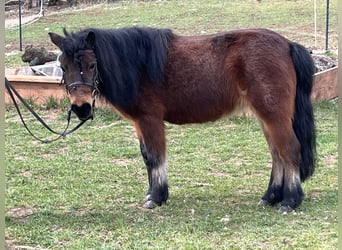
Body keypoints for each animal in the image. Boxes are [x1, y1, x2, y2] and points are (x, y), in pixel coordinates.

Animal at [48, 27, 316, 213]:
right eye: (63, 66)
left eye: (92, 64)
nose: (81, 108)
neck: (138, 65)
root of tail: (287, 45)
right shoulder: (139, 123)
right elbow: (146, 157)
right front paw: (153, 194)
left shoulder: (150, 120)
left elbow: (155, 157)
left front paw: (157, 198)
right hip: (266, 117)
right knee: (277, 154)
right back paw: (270, 197)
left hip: (274, 115)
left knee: (289, 150)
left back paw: (290, 201)